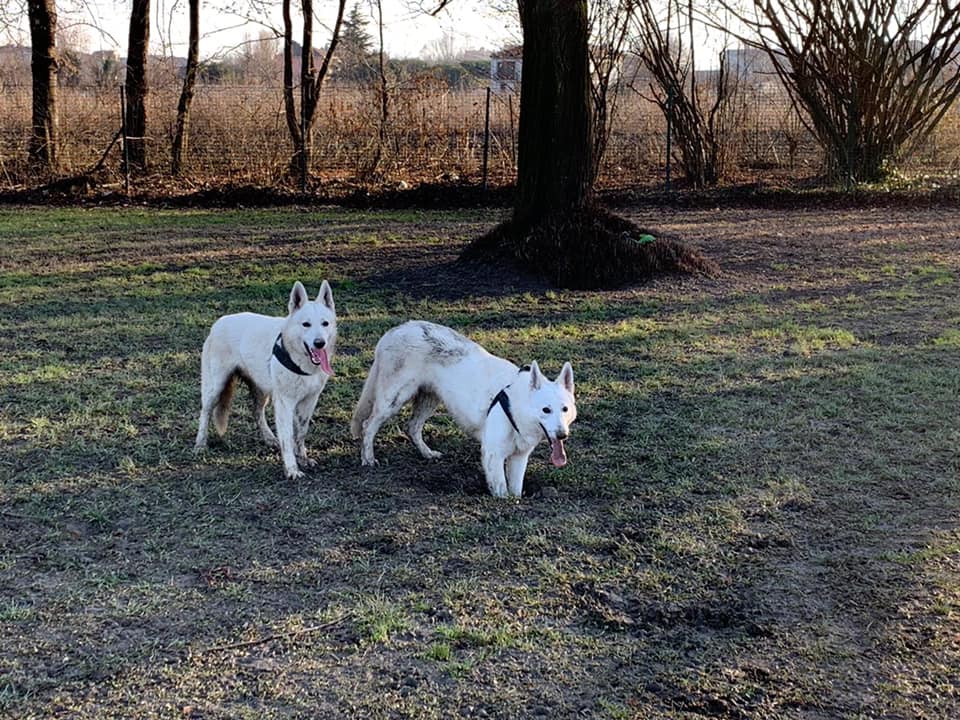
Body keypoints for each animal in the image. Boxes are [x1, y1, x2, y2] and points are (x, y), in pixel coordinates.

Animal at [195, 280, 338, 478]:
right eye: (306, 324)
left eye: (325, 323)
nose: (320, 343)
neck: (299, 361)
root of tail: (219, 322)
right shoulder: (284, 403)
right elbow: (287, 437)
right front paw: (292, 469)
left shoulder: (309, 401)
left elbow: (301, 432)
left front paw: (302, 458)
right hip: (216, 387)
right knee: (205, 412)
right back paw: (200, 444)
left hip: (262, 391)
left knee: (257, 412)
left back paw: (269, 438)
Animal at [352, 322, 576, 498]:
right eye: (546, 410)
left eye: (564, 409)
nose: (562, 435)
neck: (516, 404)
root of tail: (393, 331)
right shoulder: (493, 455)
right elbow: (502, 493)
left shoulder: (519, 458)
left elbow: (516, 491)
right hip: (393, 399)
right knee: (368, 426)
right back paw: (368, 458)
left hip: (430, 399)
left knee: (413, 427)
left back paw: (427, 453)